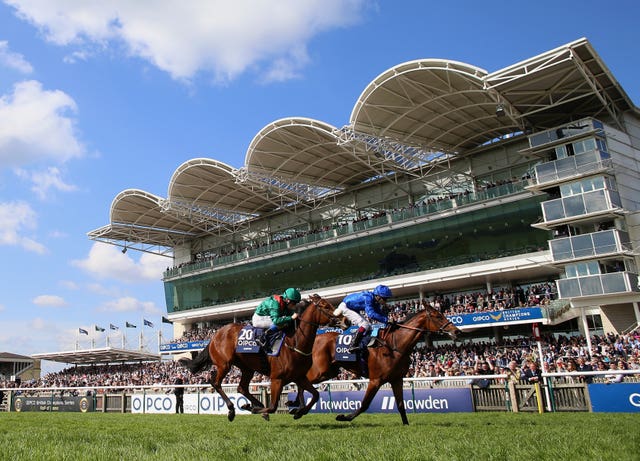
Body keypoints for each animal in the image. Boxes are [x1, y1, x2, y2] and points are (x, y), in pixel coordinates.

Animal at [179, 294, 336, 420]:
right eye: (325, 306)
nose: (340, 317)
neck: (294, 342)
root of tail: (214, 336)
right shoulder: (277, 378)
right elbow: (273, 407)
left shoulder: (299, 376)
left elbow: (315, 394)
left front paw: (298, 412)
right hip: (224, 364)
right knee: (216, 383)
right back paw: (232, 410)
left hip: (247, 368)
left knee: (241, 388)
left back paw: (255, 405)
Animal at [296, 304, 460, 426]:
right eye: (438, 316)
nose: (456, 331)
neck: (395, 345)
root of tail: (316, 337)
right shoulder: (376, 380)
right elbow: (364, 404)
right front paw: (344, 417)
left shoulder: (397, 379)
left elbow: (400, 404)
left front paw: (406, 424)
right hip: (320, 371)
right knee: (302, 382)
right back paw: (298, 409)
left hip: (330, 371)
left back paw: (298, 407)